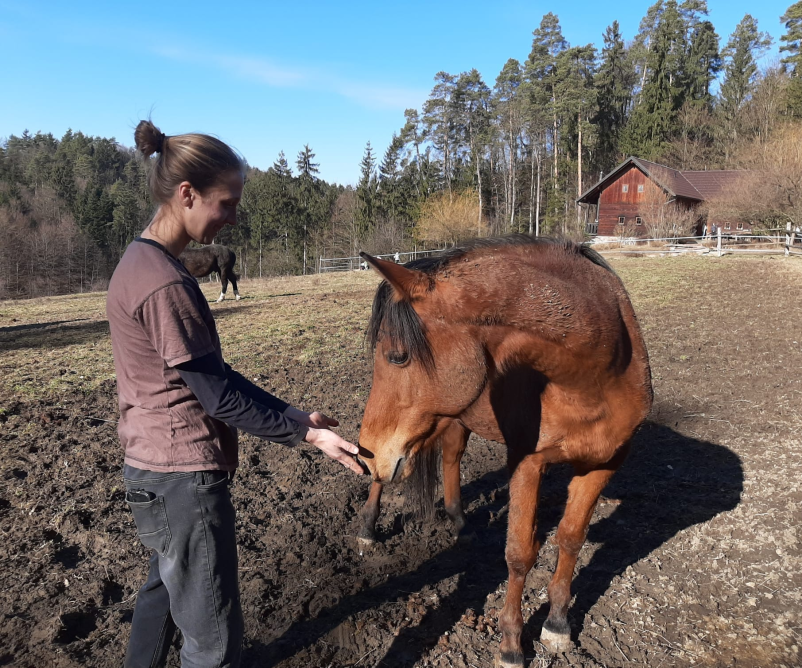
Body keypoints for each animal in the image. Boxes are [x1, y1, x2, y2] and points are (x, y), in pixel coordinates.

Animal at [354, 237, 648, 664]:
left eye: (398, 356)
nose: (366, 451)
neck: (595, 375)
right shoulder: (527, 463)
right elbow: (520, 554)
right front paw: (510, 645)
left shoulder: (605, 463)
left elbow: (571, 538)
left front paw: (557, 624)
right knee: (387, 478)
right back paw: (367, 527)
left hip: (447, 418)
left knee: (450, 457)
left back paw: (459, 522)